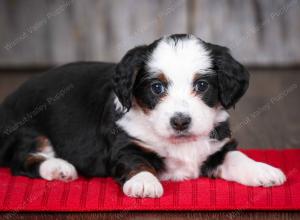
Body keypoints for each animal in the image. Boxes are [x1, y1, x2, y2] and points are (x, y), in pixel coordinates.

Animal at [0, 34, 286, 198]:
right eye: (156, 88)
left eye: (202, 85)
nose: (180, 121)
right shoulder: (124, 145)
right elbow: (136, 162)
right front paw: (144, 182)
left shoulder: (217, 147)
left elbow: (237, 156)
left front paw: (262, 170)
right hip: (26, 129)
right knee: (22, 159)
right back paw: (59, 168)